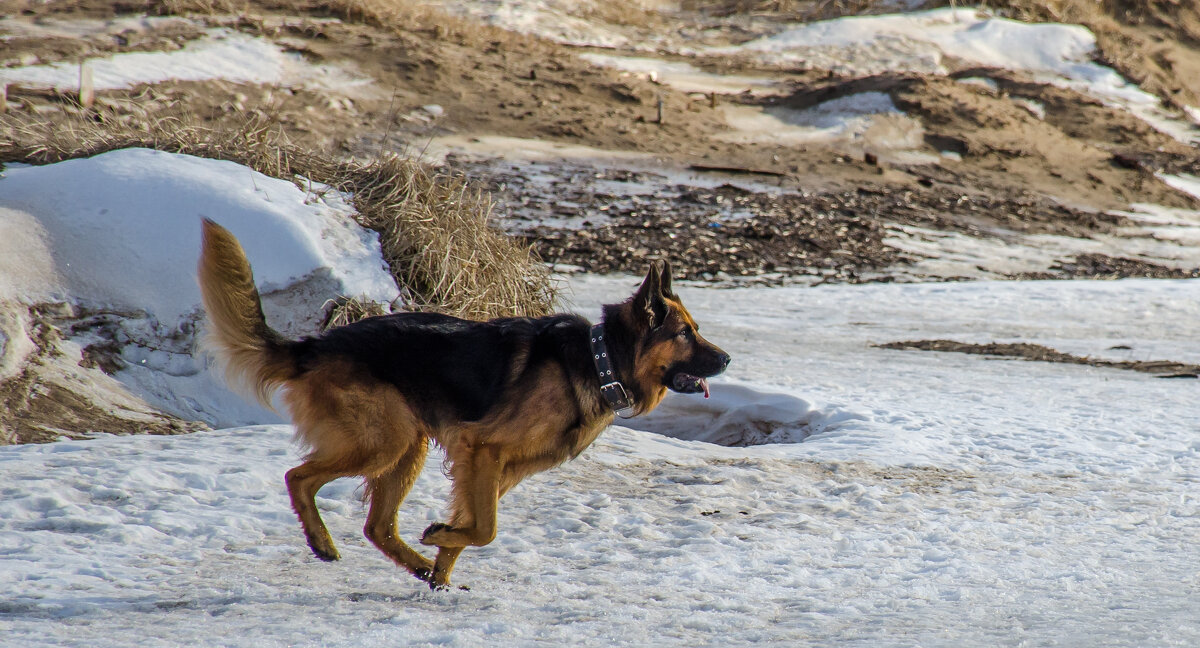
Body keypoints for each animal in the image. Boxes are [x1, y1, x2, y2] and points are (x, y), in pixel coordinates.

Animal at [196, 220, 729, 590]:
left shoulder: (496, 470)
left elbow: (475, 525)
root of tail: (316, 345)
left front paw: (442, 567)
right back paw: (323, 543)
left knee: (377, 526)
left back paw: (416, 566)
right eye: (685, 334)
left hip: (408, 446)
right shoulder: (483, 450)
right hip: (383, 442)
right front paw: (441, 542)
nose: (726, 358)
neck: (601, 361)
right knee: (298, 477)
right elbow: (487, 529)